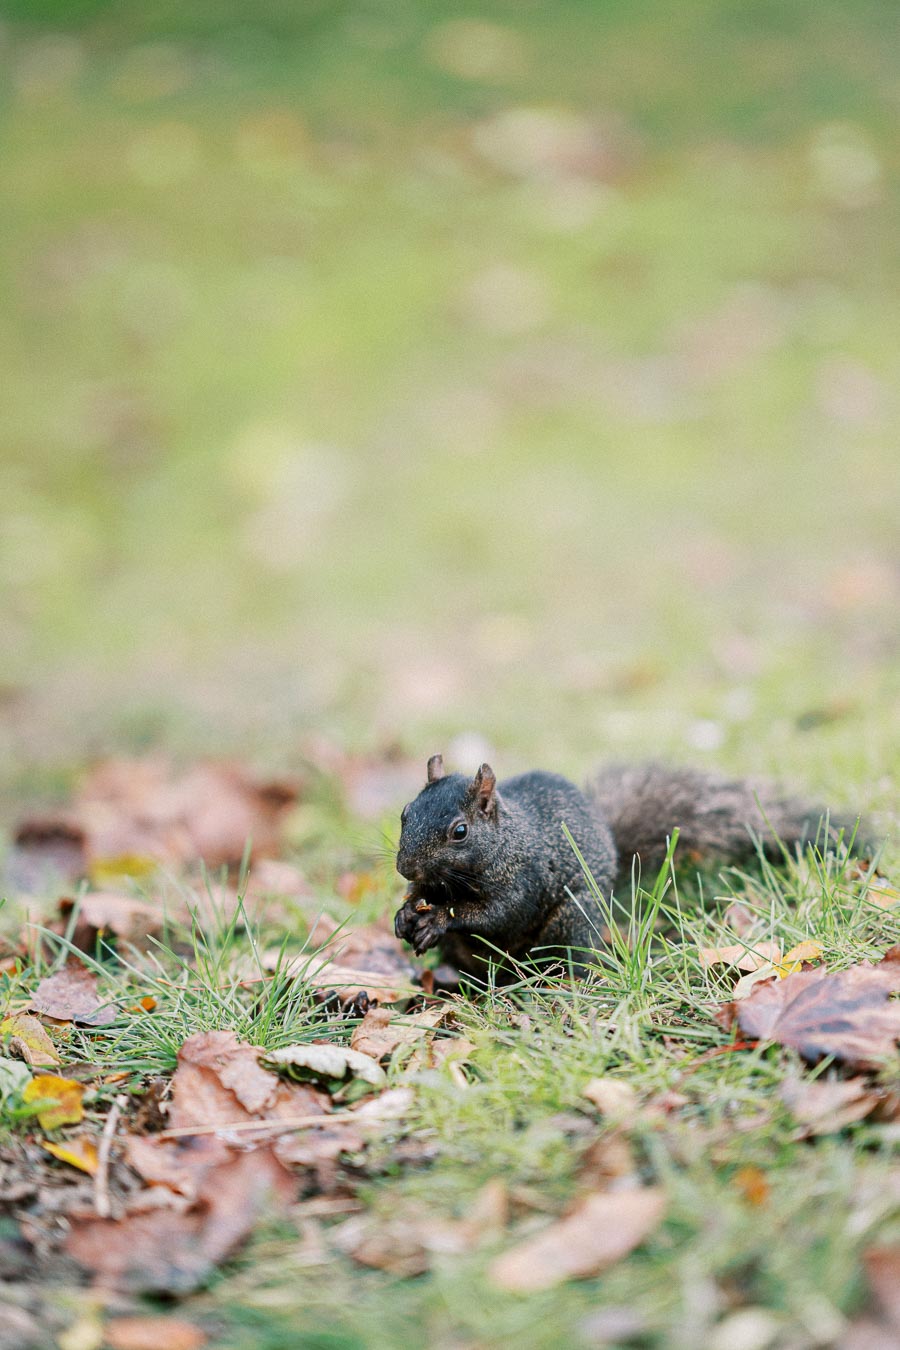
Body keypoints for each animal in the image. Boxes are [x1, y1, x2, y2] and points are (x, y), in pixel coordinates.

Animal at [393, 754, 858, 979]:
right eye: (404, 812)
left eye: (459, 831)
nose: (406, 868)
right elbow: (422, 899)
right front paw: (404, 913)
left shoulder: (524, 877)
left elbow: (498, 913)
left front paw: (439, 919)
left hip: (571, 923)